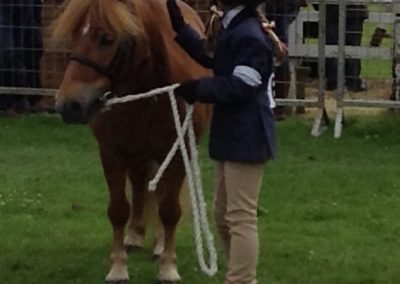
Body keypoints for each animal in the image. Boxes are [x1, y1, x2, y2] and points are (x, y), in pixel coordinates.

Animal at [52, 0, 212, 282]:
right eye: (74, 35)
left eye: (106, 38)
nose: (69, 105)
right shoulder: (112, 152)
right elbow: (118, 210)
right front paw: (118, 267)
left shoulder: (178, 153)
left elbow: (169, 210)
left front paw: (168, 267)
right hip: (138, 154)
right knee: (139, 188)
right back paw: (135, 236)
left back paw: (159, 245)